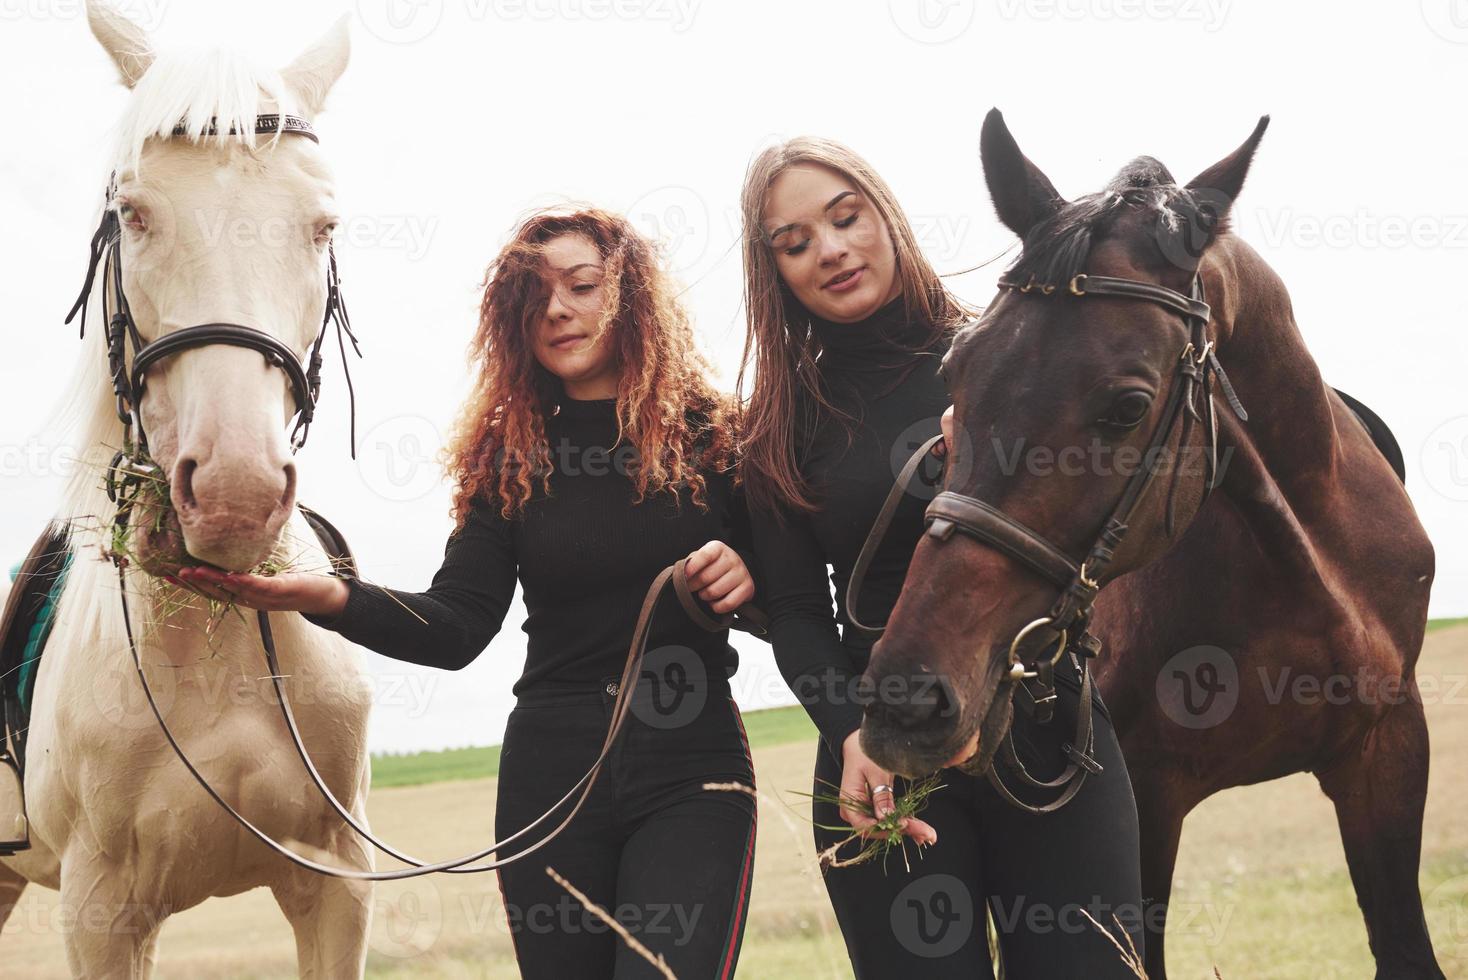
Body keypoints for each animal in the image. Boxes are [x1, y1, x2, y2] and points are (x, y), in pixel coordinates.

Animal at [863, 109, 1438, 979]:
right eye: (957, 371)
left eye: (1129, 405)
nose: (908, 698)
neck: (1307, 569)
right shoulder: (1150, 800)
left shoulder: (1388, 751)